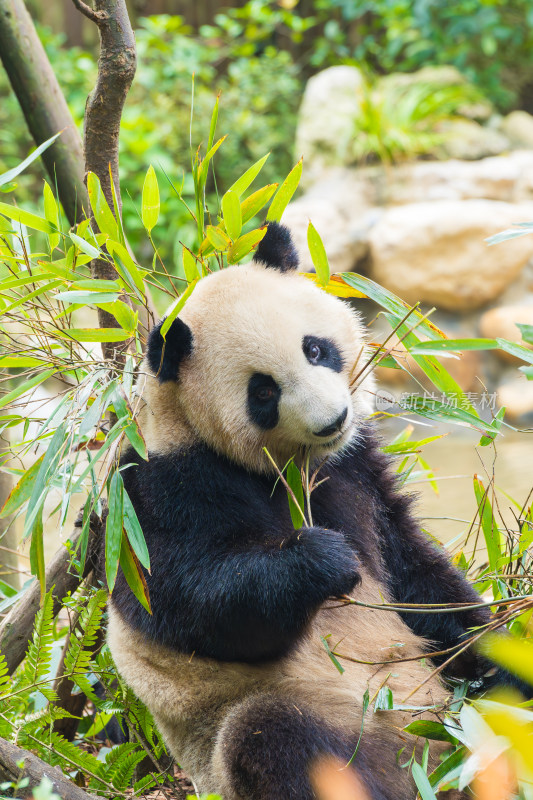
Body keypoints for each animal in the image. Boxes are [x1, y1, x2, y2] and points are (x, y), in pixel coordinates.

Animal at [108, 222, 512, 800]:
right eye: (263, 391)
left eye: (315, 349)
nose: (333, 420)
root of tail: (433, 763)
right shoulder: (162, 488)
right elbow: (187, 599)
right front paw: (325, 559)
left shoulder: (353, 470)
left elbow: (418, 577)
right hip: (325, 721)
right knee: (275, 736)